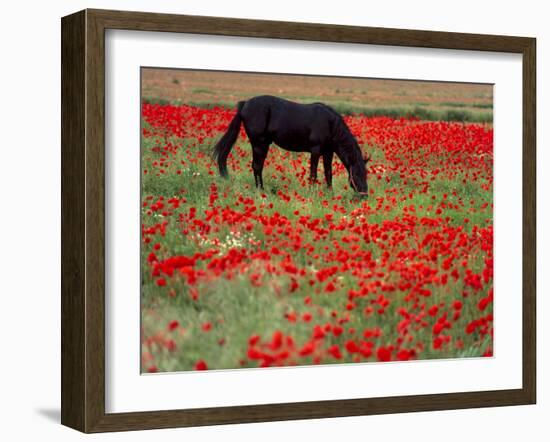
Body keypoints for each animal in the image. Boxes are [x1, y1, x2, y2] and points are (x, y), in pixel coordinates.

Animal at [211, 95, 370, 193]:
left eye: (366, 173)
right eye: (357, 173)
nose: (364, 195)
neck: (330, 124)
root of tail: (245, 104)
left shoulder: (328, 152)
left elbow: (328, 173)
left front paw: (329, 194)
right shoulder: (316, 150)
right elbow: (313, 174)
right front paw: (312, 193)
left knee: (257, 167)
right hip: (258, 144)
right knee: (257, 166)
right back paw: (261, 190)